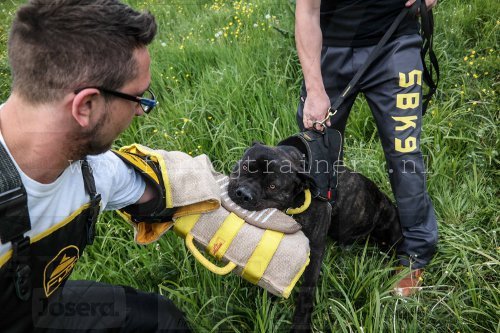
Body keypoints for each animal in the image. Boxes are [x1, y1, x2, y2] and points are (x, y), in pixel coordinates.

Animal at [229, 141, 400, 330]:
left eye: (272, 186)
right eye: (245, 166)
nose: (243, 193)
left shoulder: (315, 251)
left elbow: (307, 291)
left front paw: (300, 324)